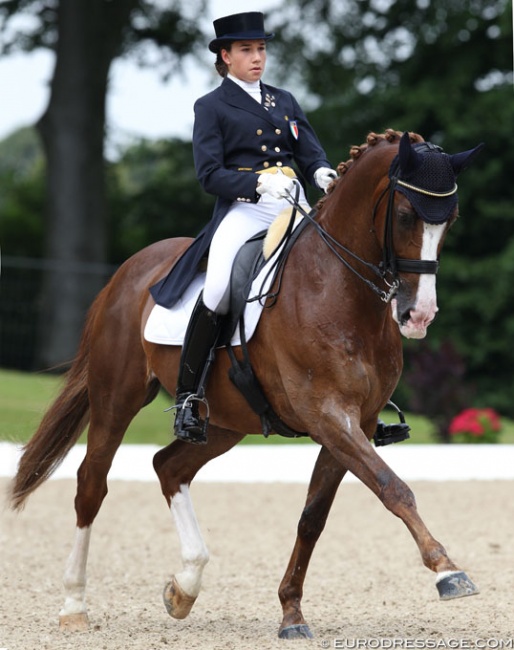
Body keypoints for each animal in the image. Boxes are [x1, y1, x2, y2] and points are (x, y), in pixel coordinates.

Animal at [11, 130, 480, 636]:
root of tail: (127, 272)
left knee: (168, 467)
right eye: (406, 214)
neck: (336, 287)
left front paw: (291, 612)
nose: (419, 315)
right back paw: (74, 605)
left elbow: (313, 517)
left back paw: (184, 587)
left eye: (450, 220)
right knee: (92, 484)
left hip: (223, 421)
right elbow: (392, 487)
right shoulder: (329, 416)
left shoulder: (354, 421)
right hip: (116, 398)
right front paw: (448, 571)